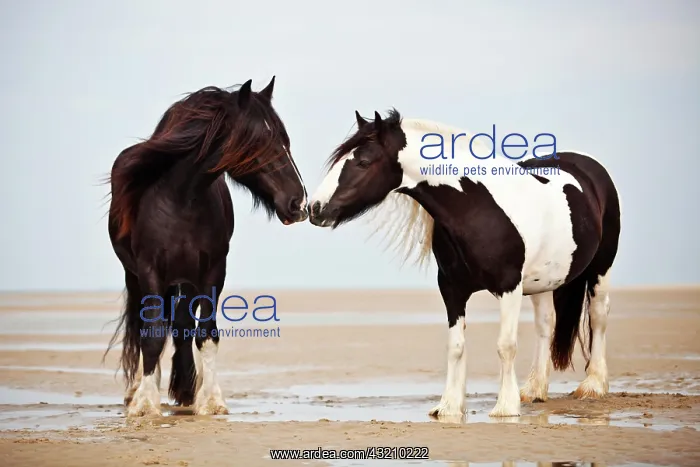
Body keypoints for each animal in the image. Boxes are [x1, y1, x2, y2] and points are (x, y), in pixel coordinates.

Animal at [104, 77, 308, 417]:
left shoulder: (213, 271)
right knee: (144, 327)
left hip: (186, 279)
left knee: (183, 326)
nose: (299, 202)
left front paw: (210, 400)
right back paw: (139, 390)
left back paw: (186, 389)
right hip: (136, 277)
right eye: (259, 141)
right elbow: (152, 334)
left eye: (284, 139)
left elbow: (205, 334)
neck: (181, 200)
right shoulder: (149, 271)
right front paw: (145, 404)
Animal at [308, 109, 621, 419]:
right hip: (543, 280)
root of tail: (588, 166)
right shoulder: (452, 290)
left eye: (363, 162)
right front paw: (449, 406)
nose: (314, 209)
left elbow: (506, 345)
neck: (477, 208)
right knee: (546, 324)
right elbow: (455, 346)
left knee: (598, 315)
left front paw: (505, 407)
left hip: (601, 267)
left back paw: (593, 386)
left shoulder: (509, 287)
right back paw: (534, 390)